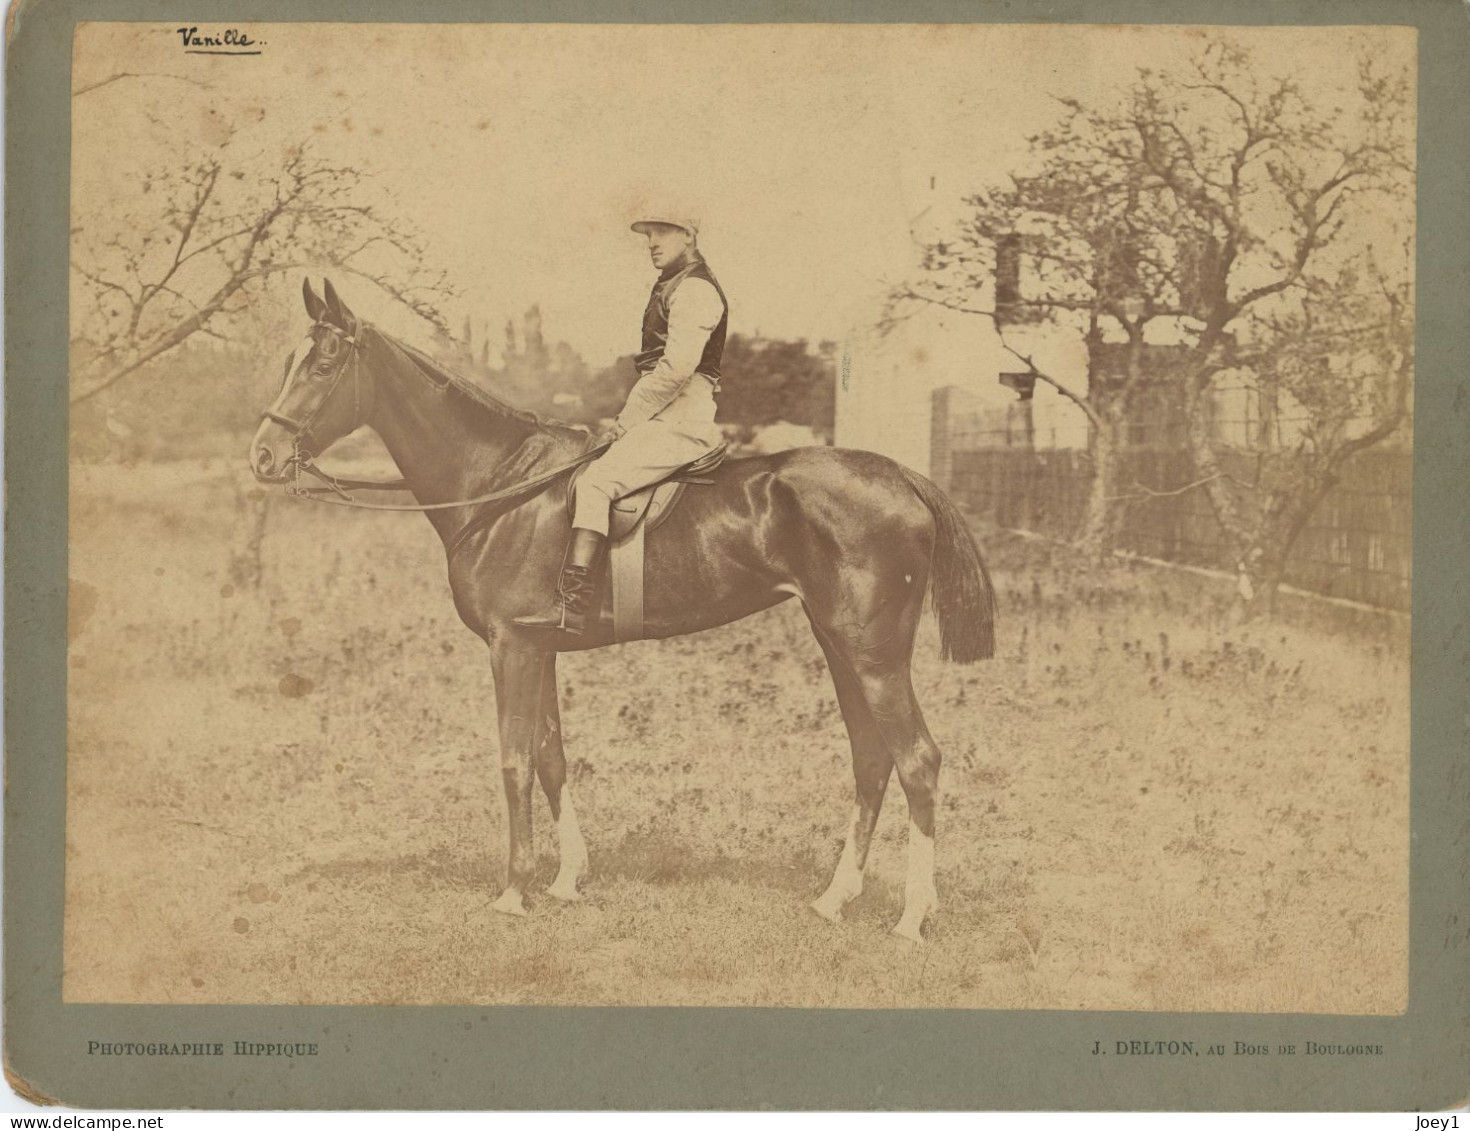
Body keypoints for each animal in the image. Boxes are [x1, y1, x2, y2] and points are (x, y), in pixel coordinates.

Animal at [252, 277, 999, 941]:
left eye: (323, 362)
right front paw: (564, 879)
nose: (263, 454)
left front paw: (515, 890)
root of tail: (901, 476)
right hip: (839, 646)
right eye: (288, 361)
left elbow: (515, 760)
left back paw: (912, 917)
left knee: (917, 760)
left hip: (874, 655)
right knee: (872, 759)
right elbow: (552, 757)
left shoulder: (511, 647)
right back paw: (835, 899)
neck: (503, 484)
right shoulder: (539, 649)